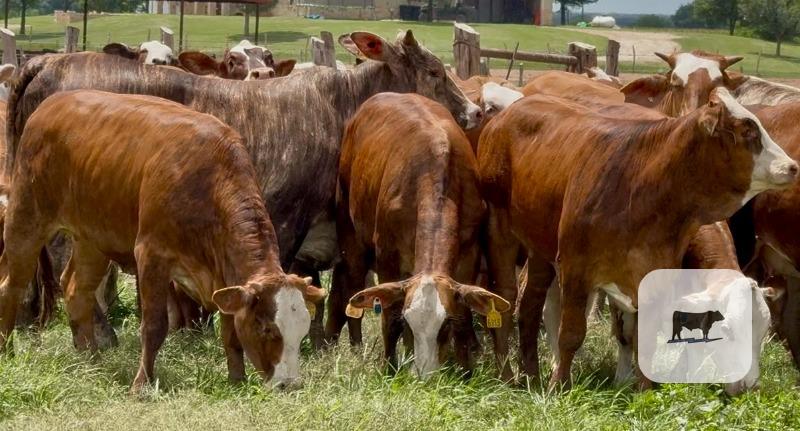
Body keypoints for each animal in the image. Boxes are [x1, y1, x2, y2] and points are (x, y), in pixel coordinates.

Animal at [0, 90, 326, 391]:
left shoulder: (225, 275)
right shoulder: (151, 254)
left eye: (302, 331)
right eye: (267, 328)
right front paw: (141, 385)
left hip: (91, 238)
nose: (289, 384)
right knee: (11, 286)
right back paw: (7, 350)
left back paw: (91, 359)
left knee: (76, 290)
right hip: (27, 216)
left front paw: (236, 379)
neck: (208, 181)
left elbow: (230, 330)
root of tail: (53, 102)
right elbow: (155, 326)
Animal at [7, 30, 480, 350]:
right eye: (434, 72)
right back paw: (102, 336)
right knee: (66, 266)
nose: (474, 112)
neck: (340, 106)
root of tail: (46, 63)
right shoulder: (287, 214)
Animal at [329, 93, 508, 377]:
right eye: (408, 321)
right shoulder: (387, 257)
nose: (424, 376)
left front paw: (465, 369)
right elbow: (389, 317)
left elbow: (465, 316)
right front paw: (389, 367)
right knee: (353, 287)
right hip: (350, 234)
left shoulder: (468, 255)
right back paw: (357, 347)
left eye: (445, 325)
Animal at [477, 87, 797, 389]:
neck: (642, 184)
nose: (792, 166)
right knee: (507, 298)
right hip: (500, 230)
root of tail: (512, 110)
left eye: (762, 332)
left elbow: (644, 338)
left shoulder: (650, 278)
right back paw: (509, 375)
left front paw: (645, 388)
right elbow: (573, 333)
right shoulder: (576, 270)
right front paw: (561, 386)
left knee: (530, 305)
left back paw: (530, 374)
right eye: (748, 131)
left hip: (540, 248)